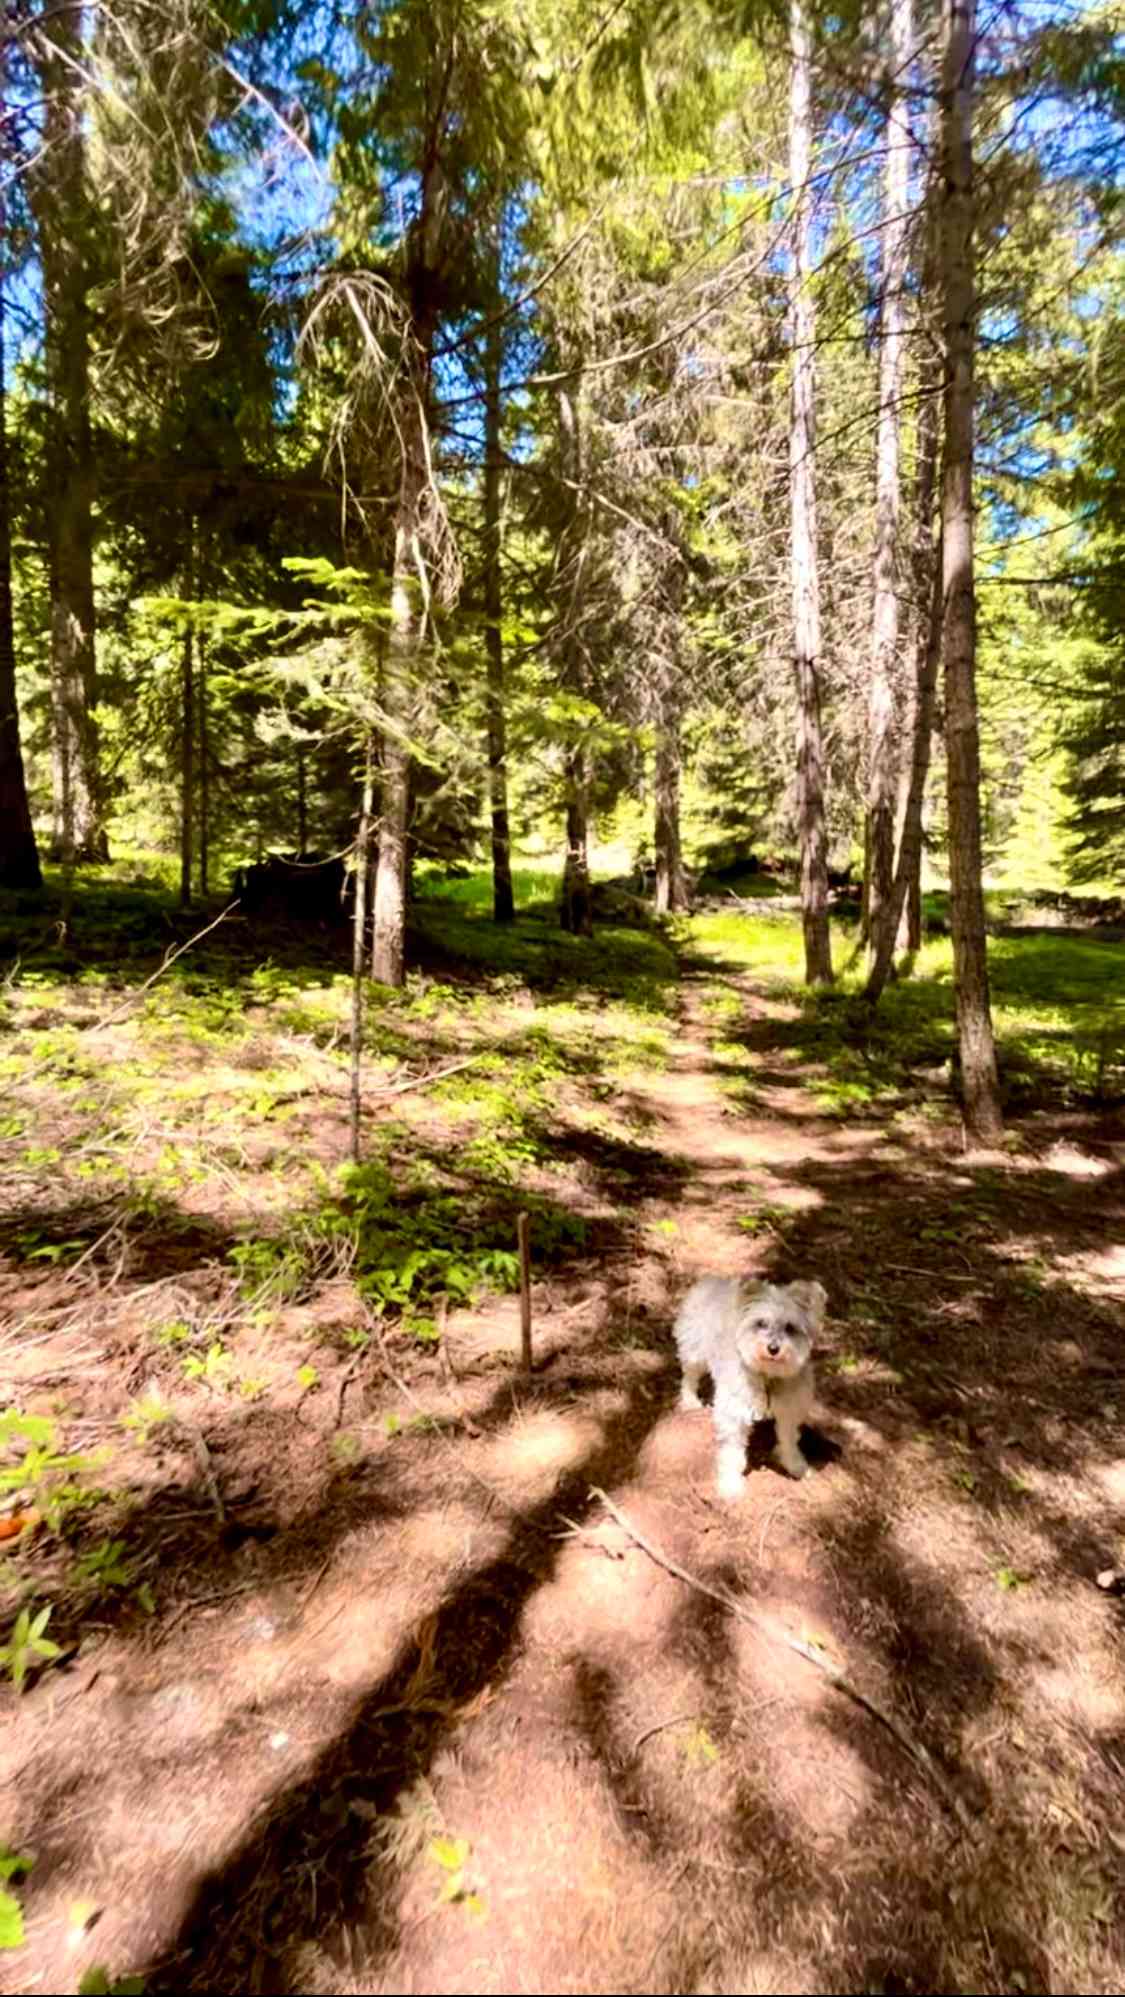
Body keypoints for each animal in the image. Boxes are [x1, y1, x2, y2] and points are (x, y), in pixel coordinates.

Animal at [675, 1278, 823, 1501]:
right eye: (761, 1323)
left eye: (790, 1327)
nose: (773, 1348)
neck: (767, 1375)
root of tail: (711, 1281)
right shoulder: (733, 1415)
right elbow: (732, 1453)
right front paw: (730, 1484)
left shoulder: (790, 1410)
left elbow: (789, 1439)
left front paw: (794, 1464)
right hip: (694, 1351)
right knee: (689, 1378)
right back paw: (690, 1401)